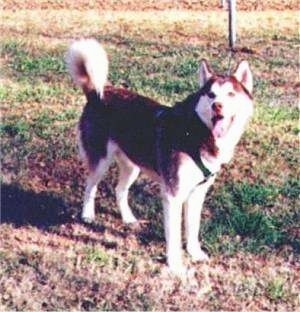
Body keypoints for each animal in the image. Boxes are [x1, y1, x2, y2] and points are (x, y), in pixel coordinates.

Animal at [66, 39, 253, 276]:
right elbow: (173, 237)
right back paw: (87, 215)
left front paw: (195, 253)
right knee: (90, 186)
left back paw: (128, 218)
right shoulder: (173, 195)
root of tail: (98, 93)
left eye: (230, 94)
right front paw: (175, 265)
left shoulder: (197, 194)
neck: (197, 133)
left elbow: (193, 229)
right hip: (100, 161)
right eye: (211, 95)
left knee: (119, 190)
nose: (216, 106)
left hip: (133, 166)